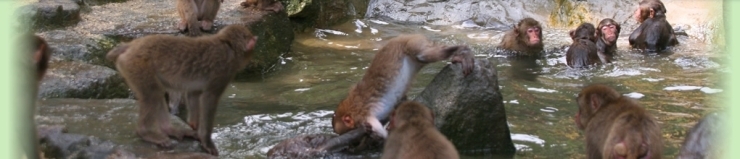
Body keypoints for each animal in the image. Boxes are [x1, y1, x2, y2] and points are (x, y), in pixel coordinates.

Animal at [105, 25, 258, 156]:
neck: (228, 45)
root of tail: (131, 45)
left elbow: (193, 94)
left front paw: (194, 126)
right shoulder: (223, 71)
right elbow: (209, 99)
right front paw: (206, 141)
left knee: (157, 92)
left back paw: (168, 129)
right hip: (137, 66)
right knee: (152, 94)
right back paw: (146, 133)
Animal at [330, 33, 474, 147]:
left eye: (347, 130)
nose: (353, 142)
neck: (350, 108)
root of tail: (403, 36)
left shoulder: (364, 115)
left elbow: (381, 131)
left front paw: (372, 134)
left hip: (413, 44)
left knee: (426, 54)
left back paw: (462, 50)